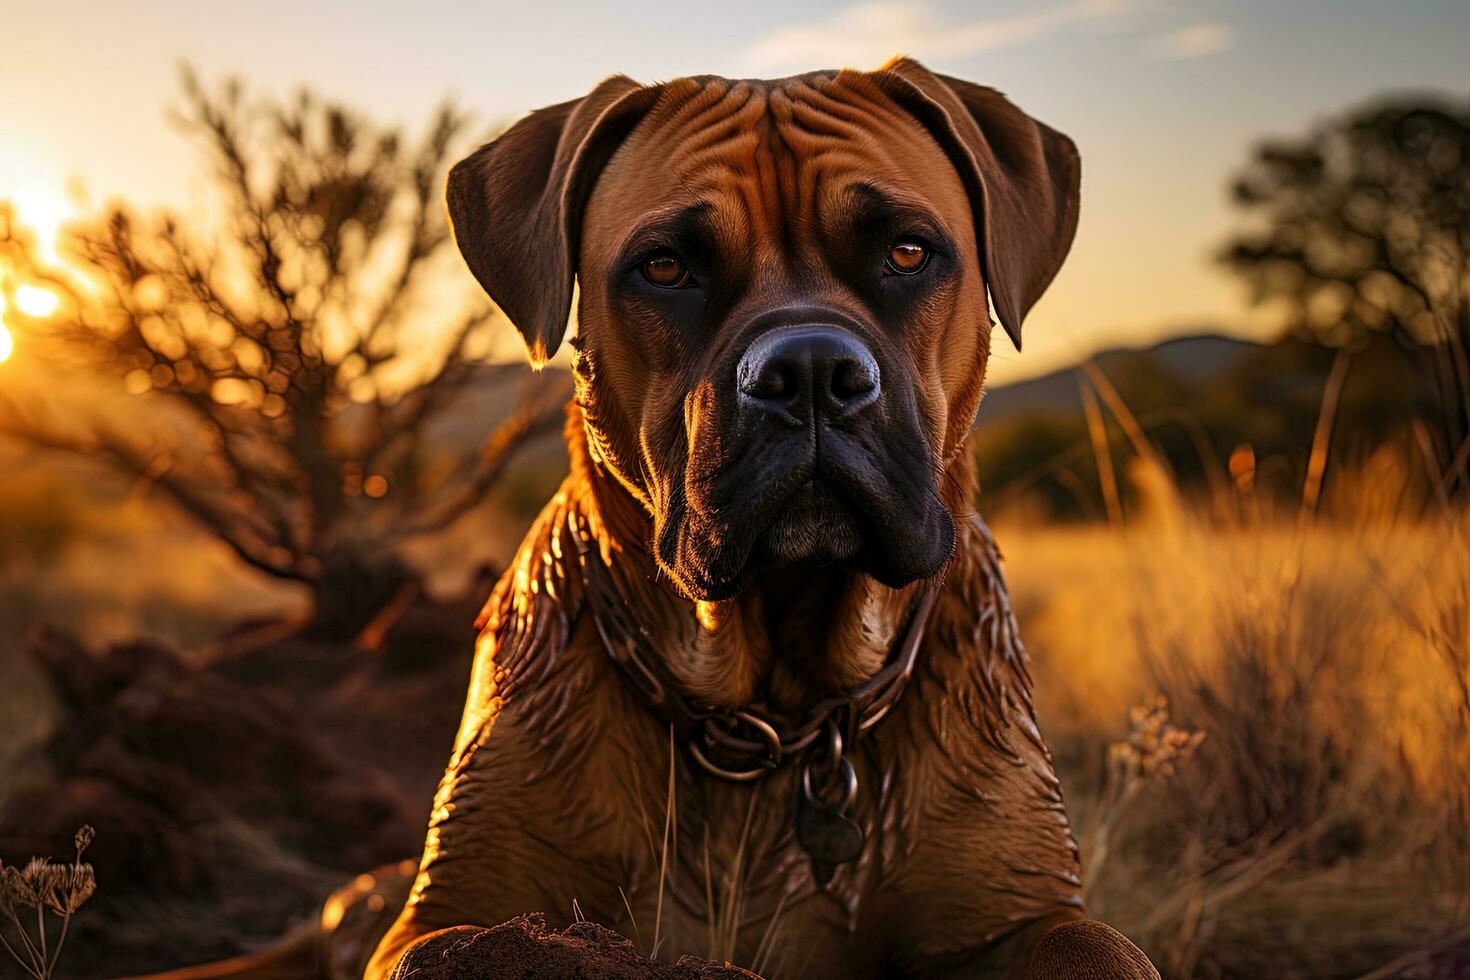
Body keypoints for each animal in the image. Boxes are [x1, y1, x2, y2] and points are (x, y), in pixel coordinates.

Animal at [346, 59, 1158, 980]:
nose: (810, 370)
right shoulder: (449, 910)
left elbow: (1094, 944)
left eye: (908, 252)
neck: (771, 719)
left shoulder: (1023, 905)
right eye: (666, 268)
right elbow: (454, 949)